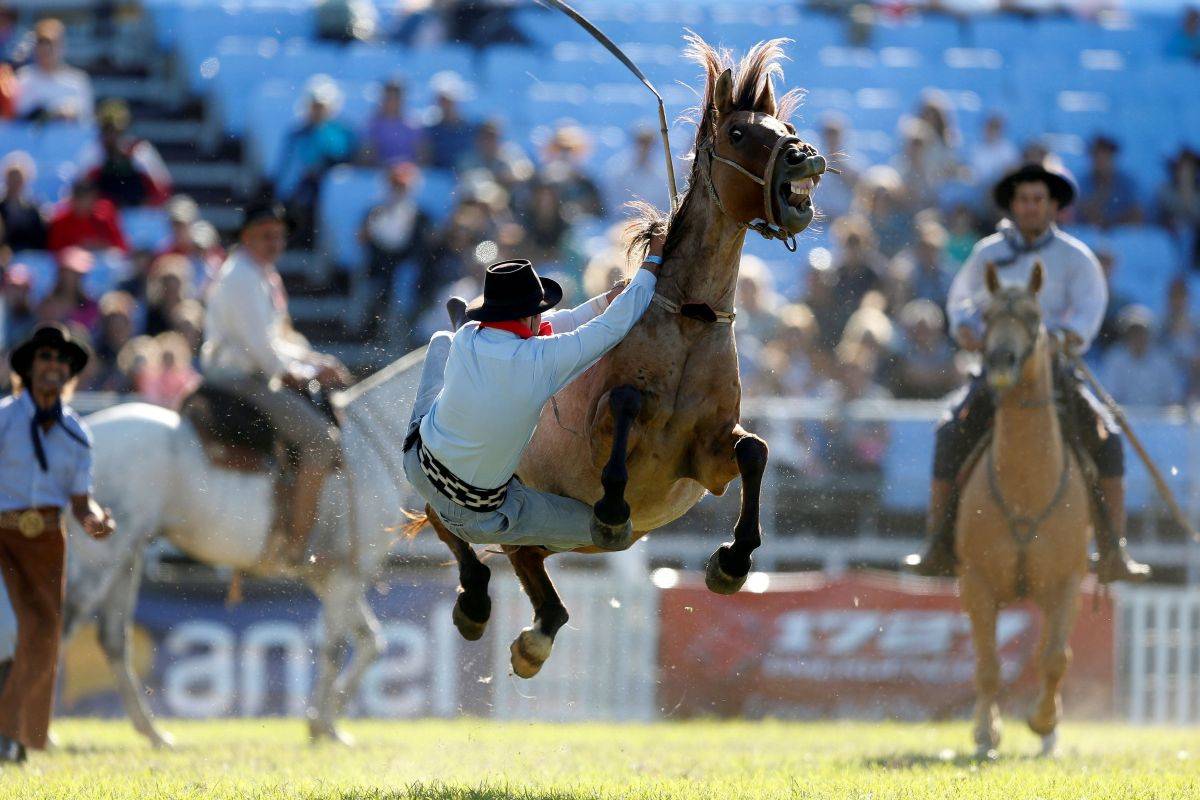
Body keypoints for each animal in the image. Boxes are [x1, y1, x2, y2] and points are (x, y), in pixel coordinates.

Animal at [427, 35, 830, 676]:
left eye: (786, 125)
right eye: (740, 133)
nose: (804, 156)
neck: (689, 323)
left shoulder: (707, 456)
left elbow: (755, 452)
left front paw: (732, 561)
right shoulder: (606, 427)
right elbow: (621, 410)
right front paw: (615, 510)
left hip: (540, 533)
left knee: (528, 566)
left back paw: (534, 635)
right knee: (451, 529)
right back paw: (474, 601)